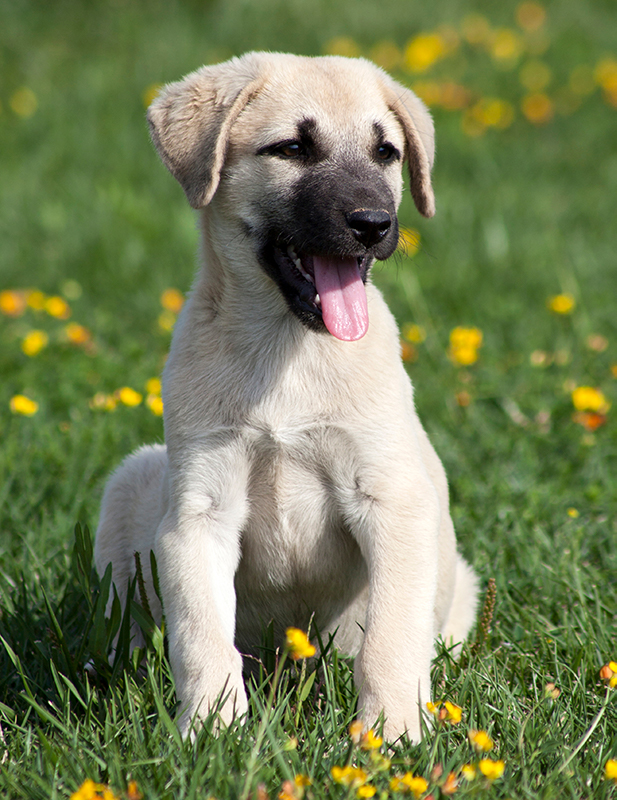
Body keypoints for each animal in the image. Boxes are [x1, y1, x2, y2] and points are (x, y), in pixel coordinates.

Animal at [94, 51, 478, 744]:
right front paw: (212, 733)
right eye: (294, 148)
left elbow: (391, 638)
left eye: (386, 152)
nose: (374, 224)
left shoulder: (392, 501)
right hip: (132, 483)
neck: (288, 351)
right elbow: (201, 636)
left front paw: (391, 735)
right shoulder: (200, 512)